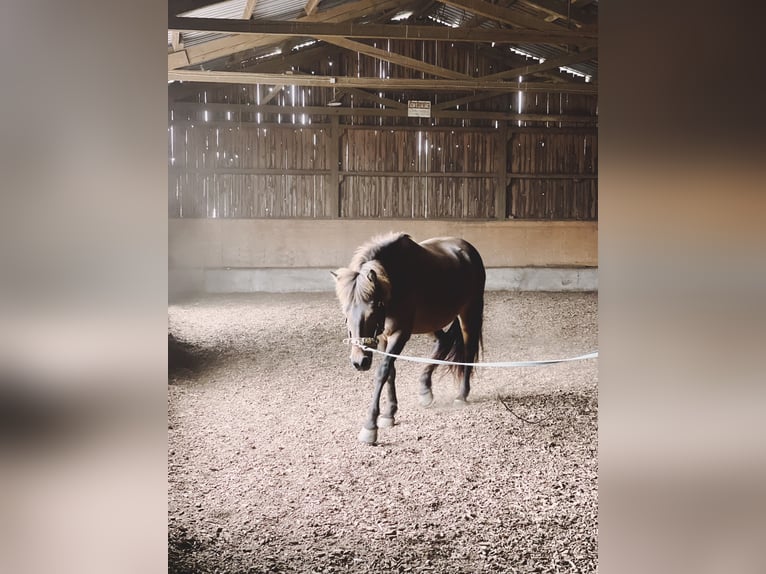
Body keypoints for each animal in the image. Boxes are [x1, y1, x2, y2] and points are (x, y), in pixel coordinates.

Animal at [332, 232, 485, 444]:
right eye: (346, 314)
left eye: (371, 312)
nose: (359, 361)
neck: (394, 281)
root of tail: (468, 249)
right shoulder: (384, 336)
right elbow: (391, 372)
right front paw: (389, 414)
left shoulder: (400, 334)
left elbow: (382, 372)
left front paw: (370, 426)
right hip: (430, 321)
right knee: (443, 342)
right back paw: (425, 389)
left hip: (468, 312)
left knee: (468, 351)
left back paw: (461, 396)